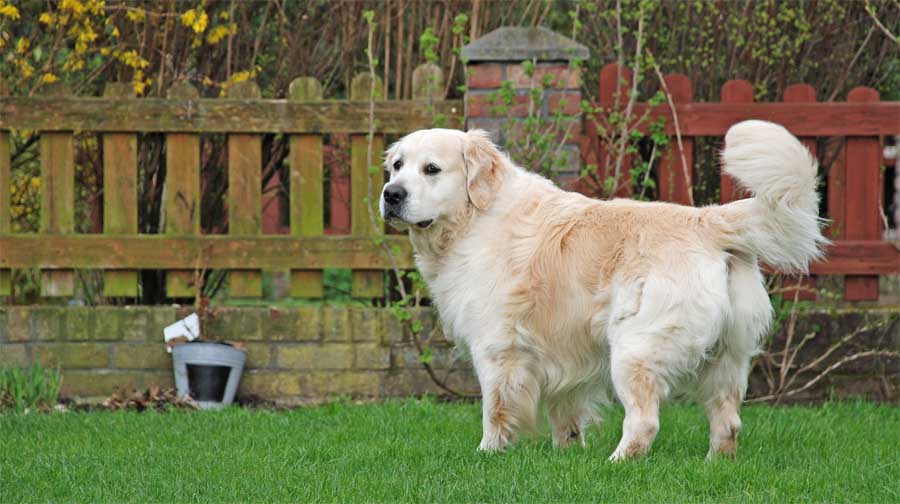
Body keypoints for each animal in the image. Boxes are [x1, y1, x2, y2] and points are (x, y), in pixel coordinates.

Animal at [379, 120, 826, 460]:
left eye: (432, 169)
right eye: (396, 166)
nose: (391, 194)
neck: (475, 216)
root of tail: (706, 221)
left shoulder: (497, 349)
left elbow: (496, 411)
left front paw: (488, 453)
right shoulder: (561, 354)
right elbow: (565, 414)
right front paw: (567, 454)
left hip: (635, 350)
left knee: (645, 421)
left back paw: (617, 463)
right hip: (727, 359)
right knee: (728, 422)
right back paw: (714, 465)